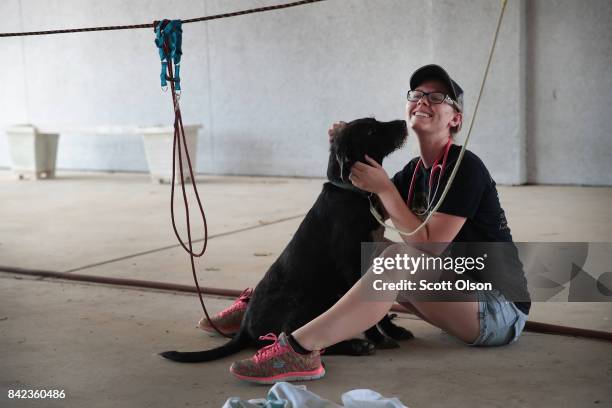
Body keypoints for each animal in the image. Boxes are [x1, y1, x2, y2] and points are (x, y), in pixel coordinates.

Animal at [161, 118, 412, 364]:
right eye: (370, 130)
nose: (403, 122)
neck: (352, 192)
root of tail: (244, 329)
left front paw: (393, 330)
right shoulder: (353, 267)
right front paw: (377, 337)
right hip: (306, 300)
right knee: (297, 337)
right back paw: (356, 346)